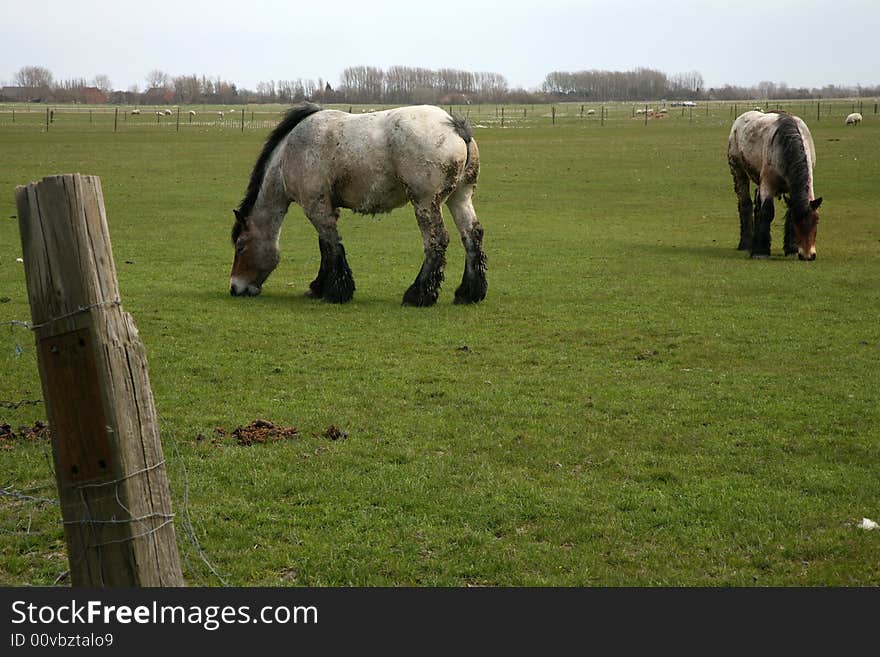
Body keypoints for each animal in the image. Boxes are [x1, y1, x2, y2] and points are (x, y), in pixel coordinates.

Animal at [230, 104, 484, 306]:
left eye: (240, 246)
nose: (234, 288)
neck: (289, 153)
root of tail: (455, 126)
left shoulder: (316, 208)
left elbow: (332, 246)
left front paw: (335, 292)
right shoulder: (324, 207)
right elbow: (325, 247)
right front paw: (318, 287)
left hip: (425, 203)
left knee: (436, 241)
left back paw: (418, 295)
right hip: (459, 199)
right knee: (472, 236)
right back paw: (469, 293)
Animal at [724, 109, 820, 258]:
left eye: (816, 221)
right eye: (797, 222)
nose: (807, 255)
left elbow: (787, 212)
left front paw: (791, 249)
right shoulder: (768, 184)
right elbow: (767, 211)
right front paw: (761, 252)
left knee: (757, 206)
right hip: (738, 172)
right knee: (745, 204)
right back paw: (746, 243)